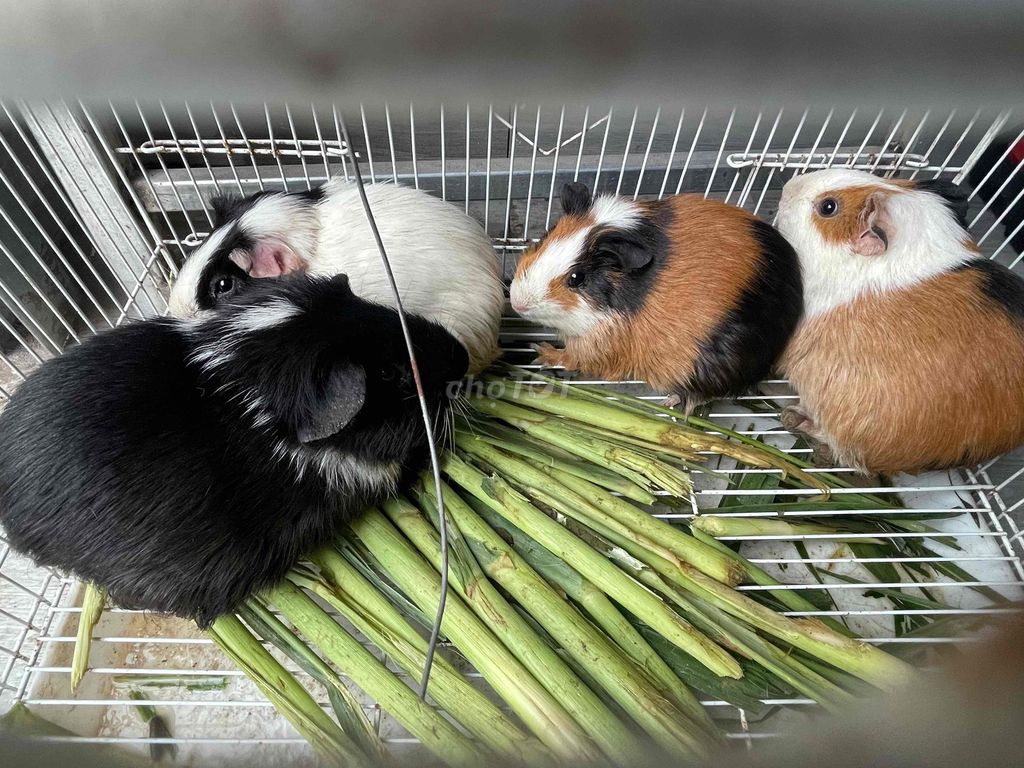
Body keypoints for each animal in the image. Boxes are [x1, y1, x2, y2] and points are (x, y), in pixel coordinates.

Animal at [509, 182, 803, 412]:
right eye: (545, 238)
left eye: (576, 278)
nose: (517, 301)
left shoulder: (598, 345)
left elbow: (572, 358)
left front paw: (540, 353)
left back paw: (672, 402)